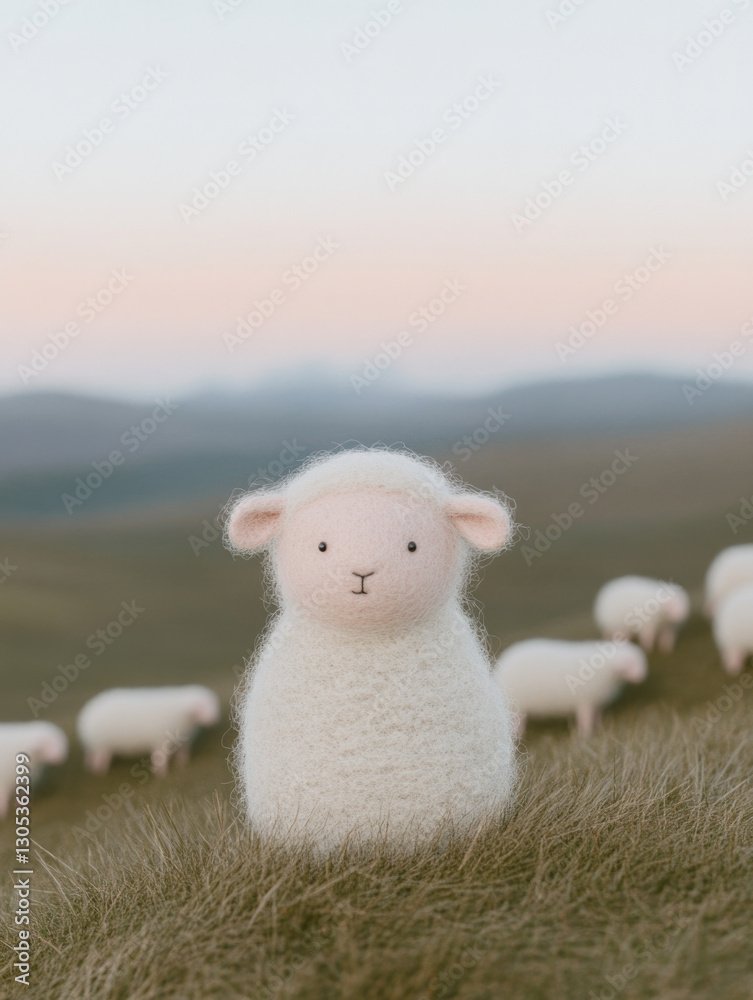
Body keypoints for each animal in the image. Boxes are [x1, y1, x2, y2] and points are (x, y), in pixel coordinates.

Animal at [77, 685, 220, 776]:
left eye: (214, 705)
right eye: (201, 707)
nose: (214, 719)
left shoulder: (184, 741)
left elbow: (183, 753)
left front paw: (182, 764)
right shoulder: (161, 741)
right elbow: (160, 758)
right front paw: (161, 773)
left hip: (95, 743)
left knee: (90, 754)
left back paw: (89, 766)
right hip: (101, 743)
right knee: (100, 757)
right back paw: (99, 770)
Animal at [493, 638, 648, 738]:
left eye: (641, 662)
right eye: (632, 665)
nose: (643, 677)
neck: (609, 670)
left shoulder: (596, 699)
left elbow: (597, 715)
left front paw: (598, 727)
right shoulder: (585, 699)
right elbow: (586, 718)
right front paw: (586, 735)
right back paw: (517, 735)